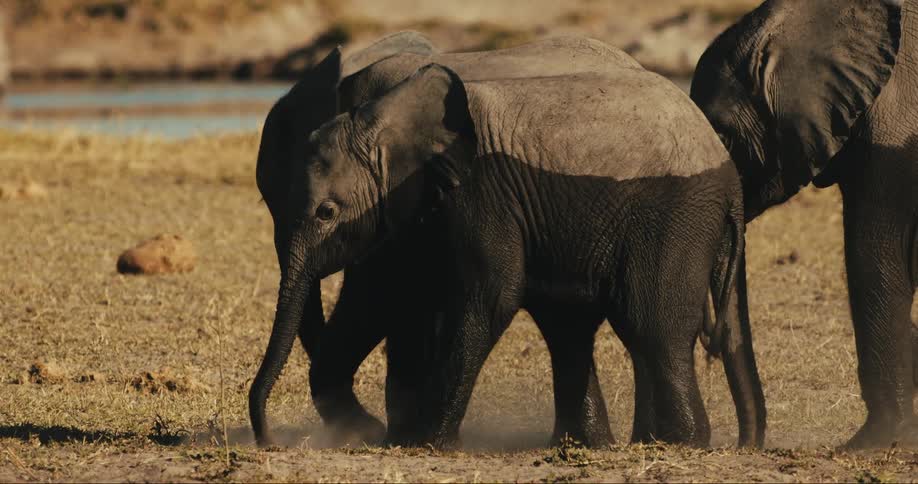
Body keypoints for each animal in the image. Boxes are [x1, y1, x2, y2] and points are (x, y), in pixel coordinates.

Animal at [250, 54, 768, 449]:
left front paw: (427, 444)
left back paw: (677, 443)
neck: (391, 114)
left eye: (327, 212)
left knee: (650, 323)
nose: (269, 441)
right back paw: (589, 444)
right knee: (571, 325)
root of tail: (729, 178)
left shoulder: (482, 190)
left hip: (676, 214)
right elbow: (388, 291)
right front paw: (384, 436)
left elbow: (490, 294)